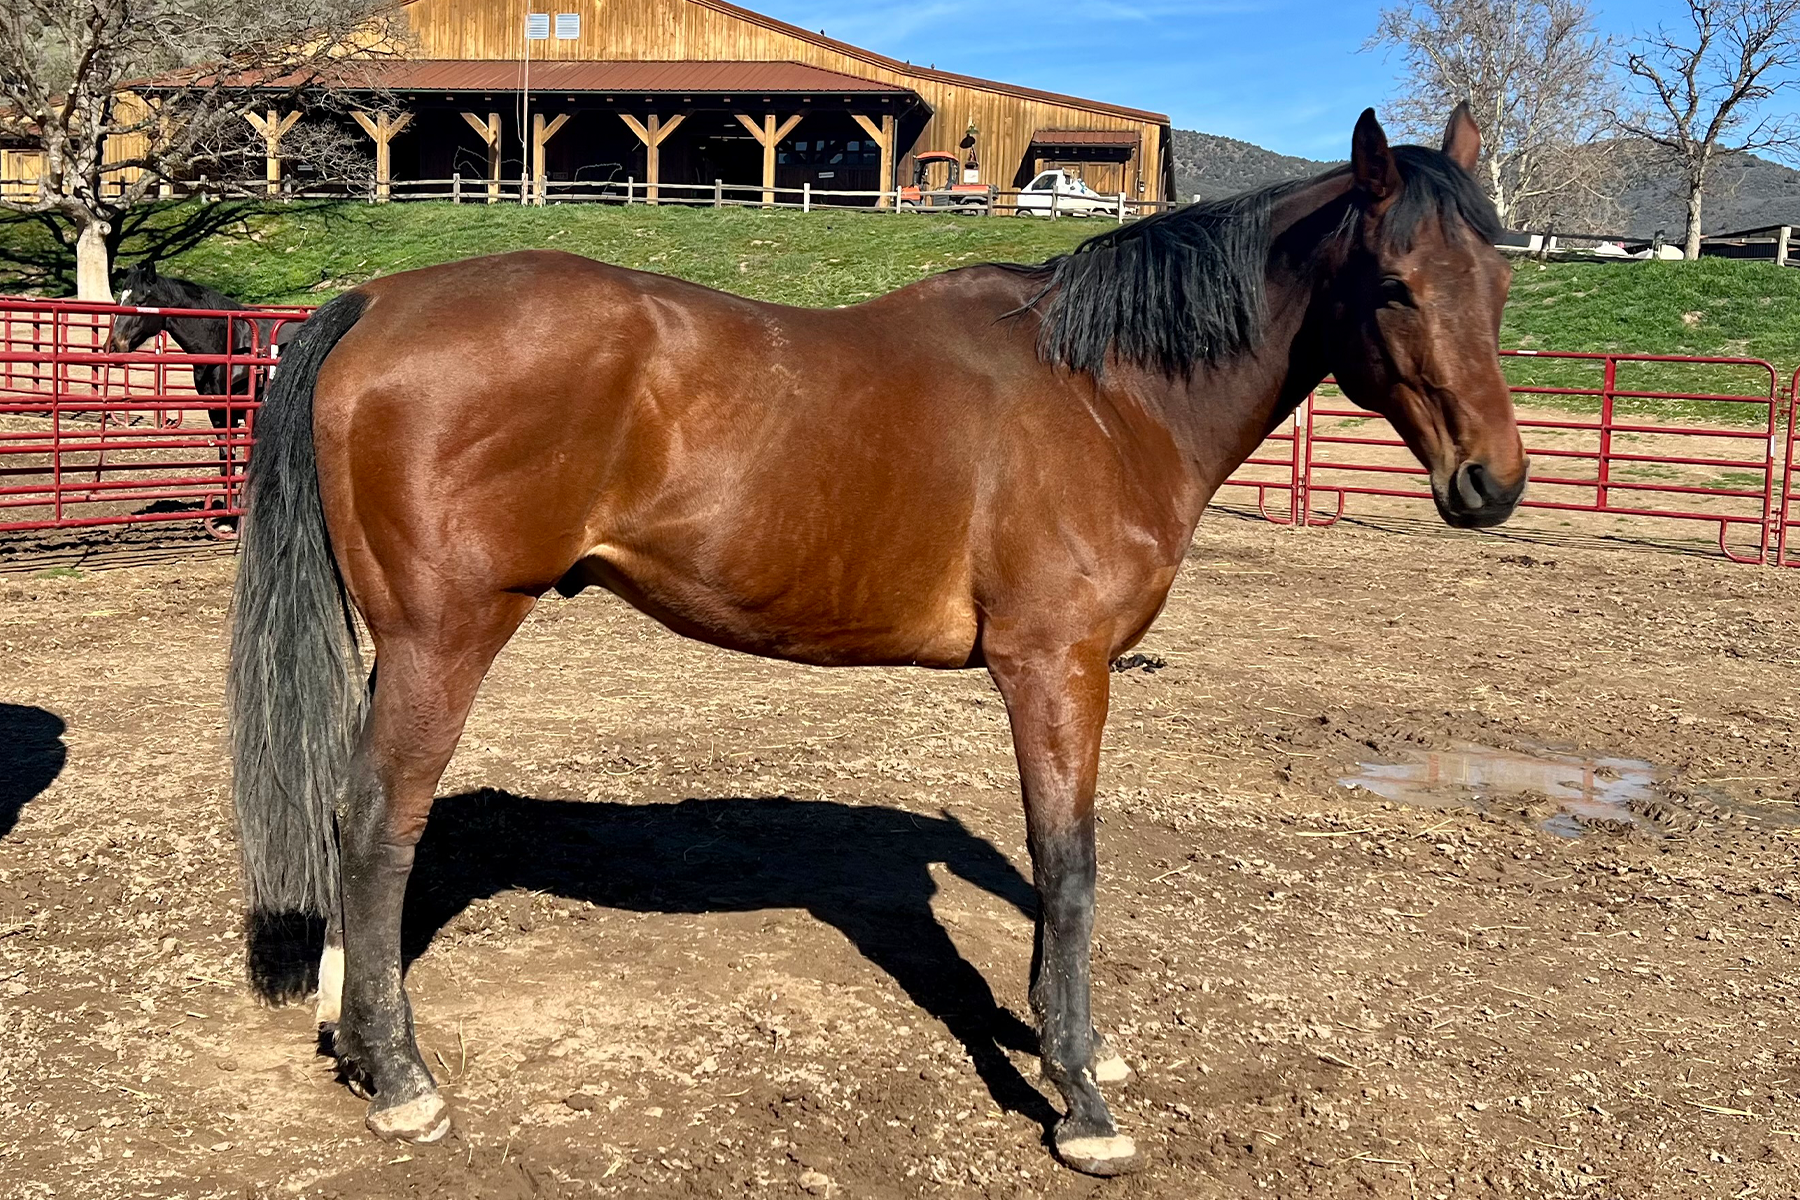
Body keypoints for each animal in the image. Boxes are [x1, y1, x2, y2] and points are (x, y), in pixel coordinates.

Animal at [226, 106, 1526, 1177]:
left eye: (1498, 279)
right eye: (1396, 284)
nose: (1493, 484)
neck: (1105, 398)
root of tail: (379, 302)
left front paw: (1080, 1046)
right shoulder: (1056, 671)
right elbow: (1069, 865)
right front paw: (1080, 1100)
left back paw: (350, 1032)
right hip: (446, 638)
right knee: (381, 827)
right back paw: (400, 1079)